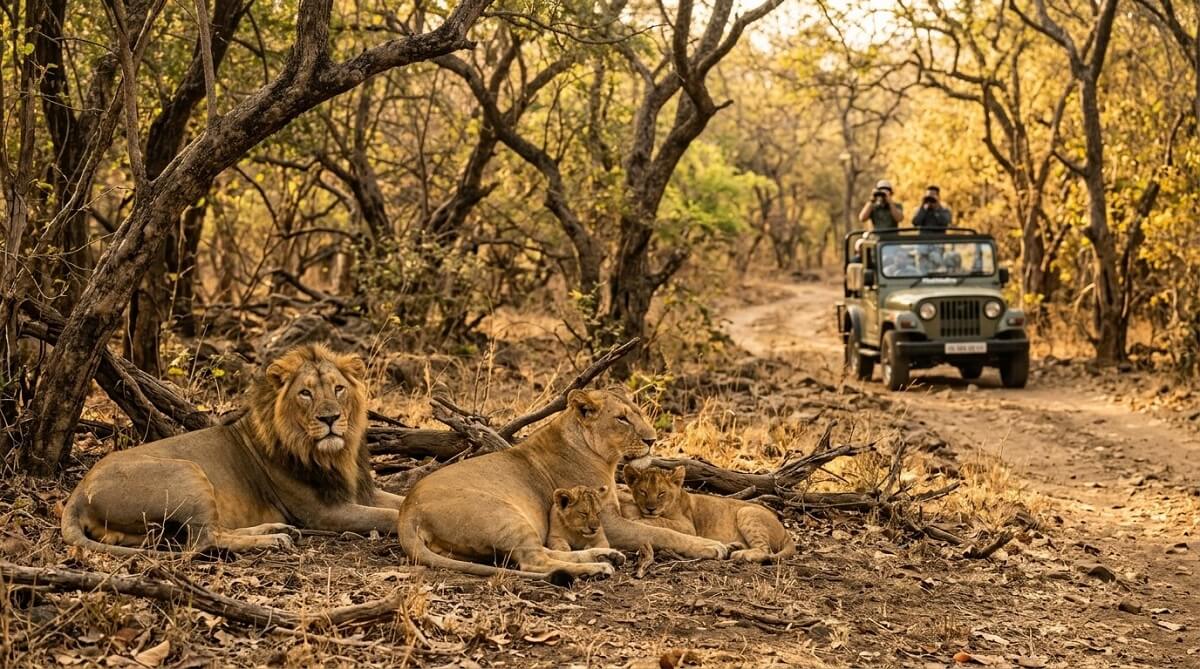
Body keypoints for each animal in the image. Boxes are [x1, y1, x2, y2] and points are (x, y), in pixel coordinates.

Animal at [61, 343, 406, 556]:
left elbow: (401, 501)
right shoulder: (323, 513)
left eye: (339, 388)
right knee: (203, 540)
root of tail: (77, 493)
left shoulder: (359, 492)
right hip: (188, 472)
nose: (330, 418)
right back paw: (275, 538)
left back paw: (276, 528)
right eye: (305, 393)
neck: (334, 455)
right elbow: (391, 515)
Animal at [397, 388, 731, 582]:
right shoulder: (604, 519)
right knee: (534, 562)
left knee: (545, 552)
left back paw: (604, 557)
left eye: (638, 413)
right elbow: (660, 533)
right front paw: (710, 545)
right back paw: (596, 568)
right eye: (622, 419)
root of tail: (407, 510)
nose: (652, 440)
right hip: (505, 515)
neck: (603, 459)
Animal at [623, 464, 796, 563]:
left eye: (661, 493)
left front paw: (639, 520)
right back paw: (733, 547)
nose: (650, 508)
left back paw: (741, 555)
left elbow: (661, 521)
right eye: (643, 492)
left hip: (747, 511)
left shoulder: (688, 527)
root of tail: (785, 532)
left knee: (766, 551)